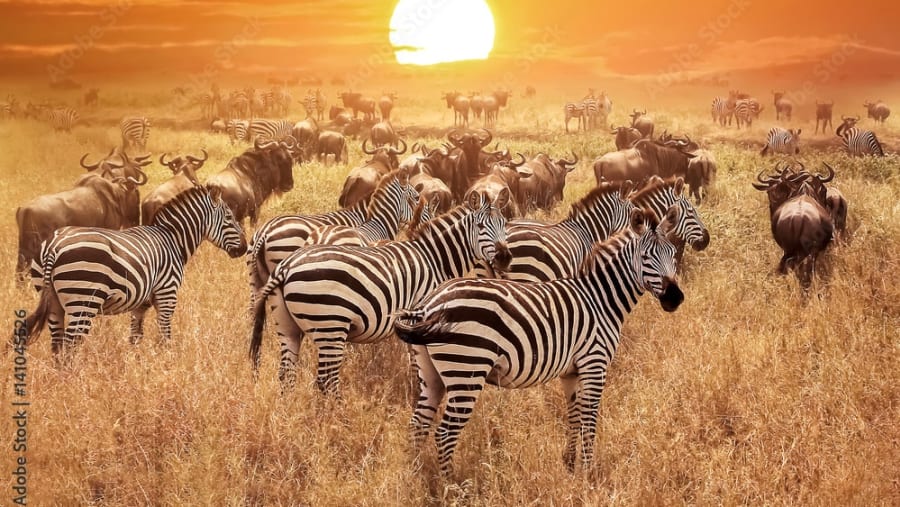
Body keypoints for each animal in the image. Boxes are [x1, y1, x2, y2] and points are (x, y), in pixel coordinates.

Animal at [23, 186, 247, 357]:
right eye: (229, 217)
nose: (245, 248)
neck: (172, 239)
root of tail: (54, 246)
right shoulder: (167, 294)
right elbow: (165, 335)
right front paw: (166, 364)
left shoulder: (140, 305)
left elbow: (135, 337)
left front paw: (137, 365)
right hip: (83, 301)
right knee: (70, 346)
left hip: (54, 303)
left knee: (57, 346)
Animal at [248, 191, 512, 392]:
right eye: (480, 226)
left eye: (505, 225)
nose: (505, 258)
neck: (433, 258)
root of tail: (287, 266)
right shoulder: (419, 316)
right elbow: (416, 362)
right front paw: (415, 389)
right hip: (330, 324)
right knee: (326, 380)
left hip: (287, 325)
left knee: (286, 372)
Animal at [394, 208, 683, 475]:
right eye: (646, 257)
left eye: (672, 254)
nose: (675, 298)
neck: (600, 299)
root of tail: (429, 305)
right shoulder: (594, 363)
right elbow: (589, 420)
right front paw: (589, 472)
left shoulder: (571, 371)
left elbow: (574, 416)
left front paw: (570, 464)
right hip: (467, 369)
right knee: (444, 433)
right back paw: (452, 486)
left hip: (431, 374)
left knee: (418, 425)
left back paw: (417, 477)